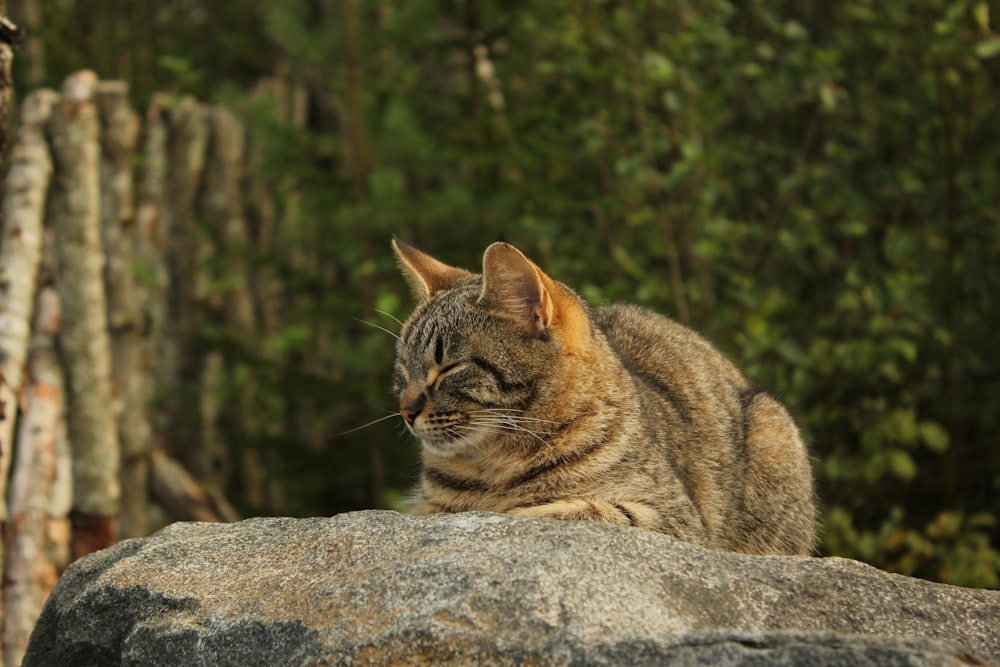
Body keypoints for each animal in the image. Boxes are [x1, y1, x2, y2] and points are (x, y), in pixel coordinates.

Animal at [386, 237, 816, 556]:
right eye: (403, 371)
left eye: (449, 367)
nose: (405, 411)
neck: (494, 466)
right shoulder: (427, 506)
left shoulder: (674, 519)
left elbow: (576, 511)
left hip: (773, 431)